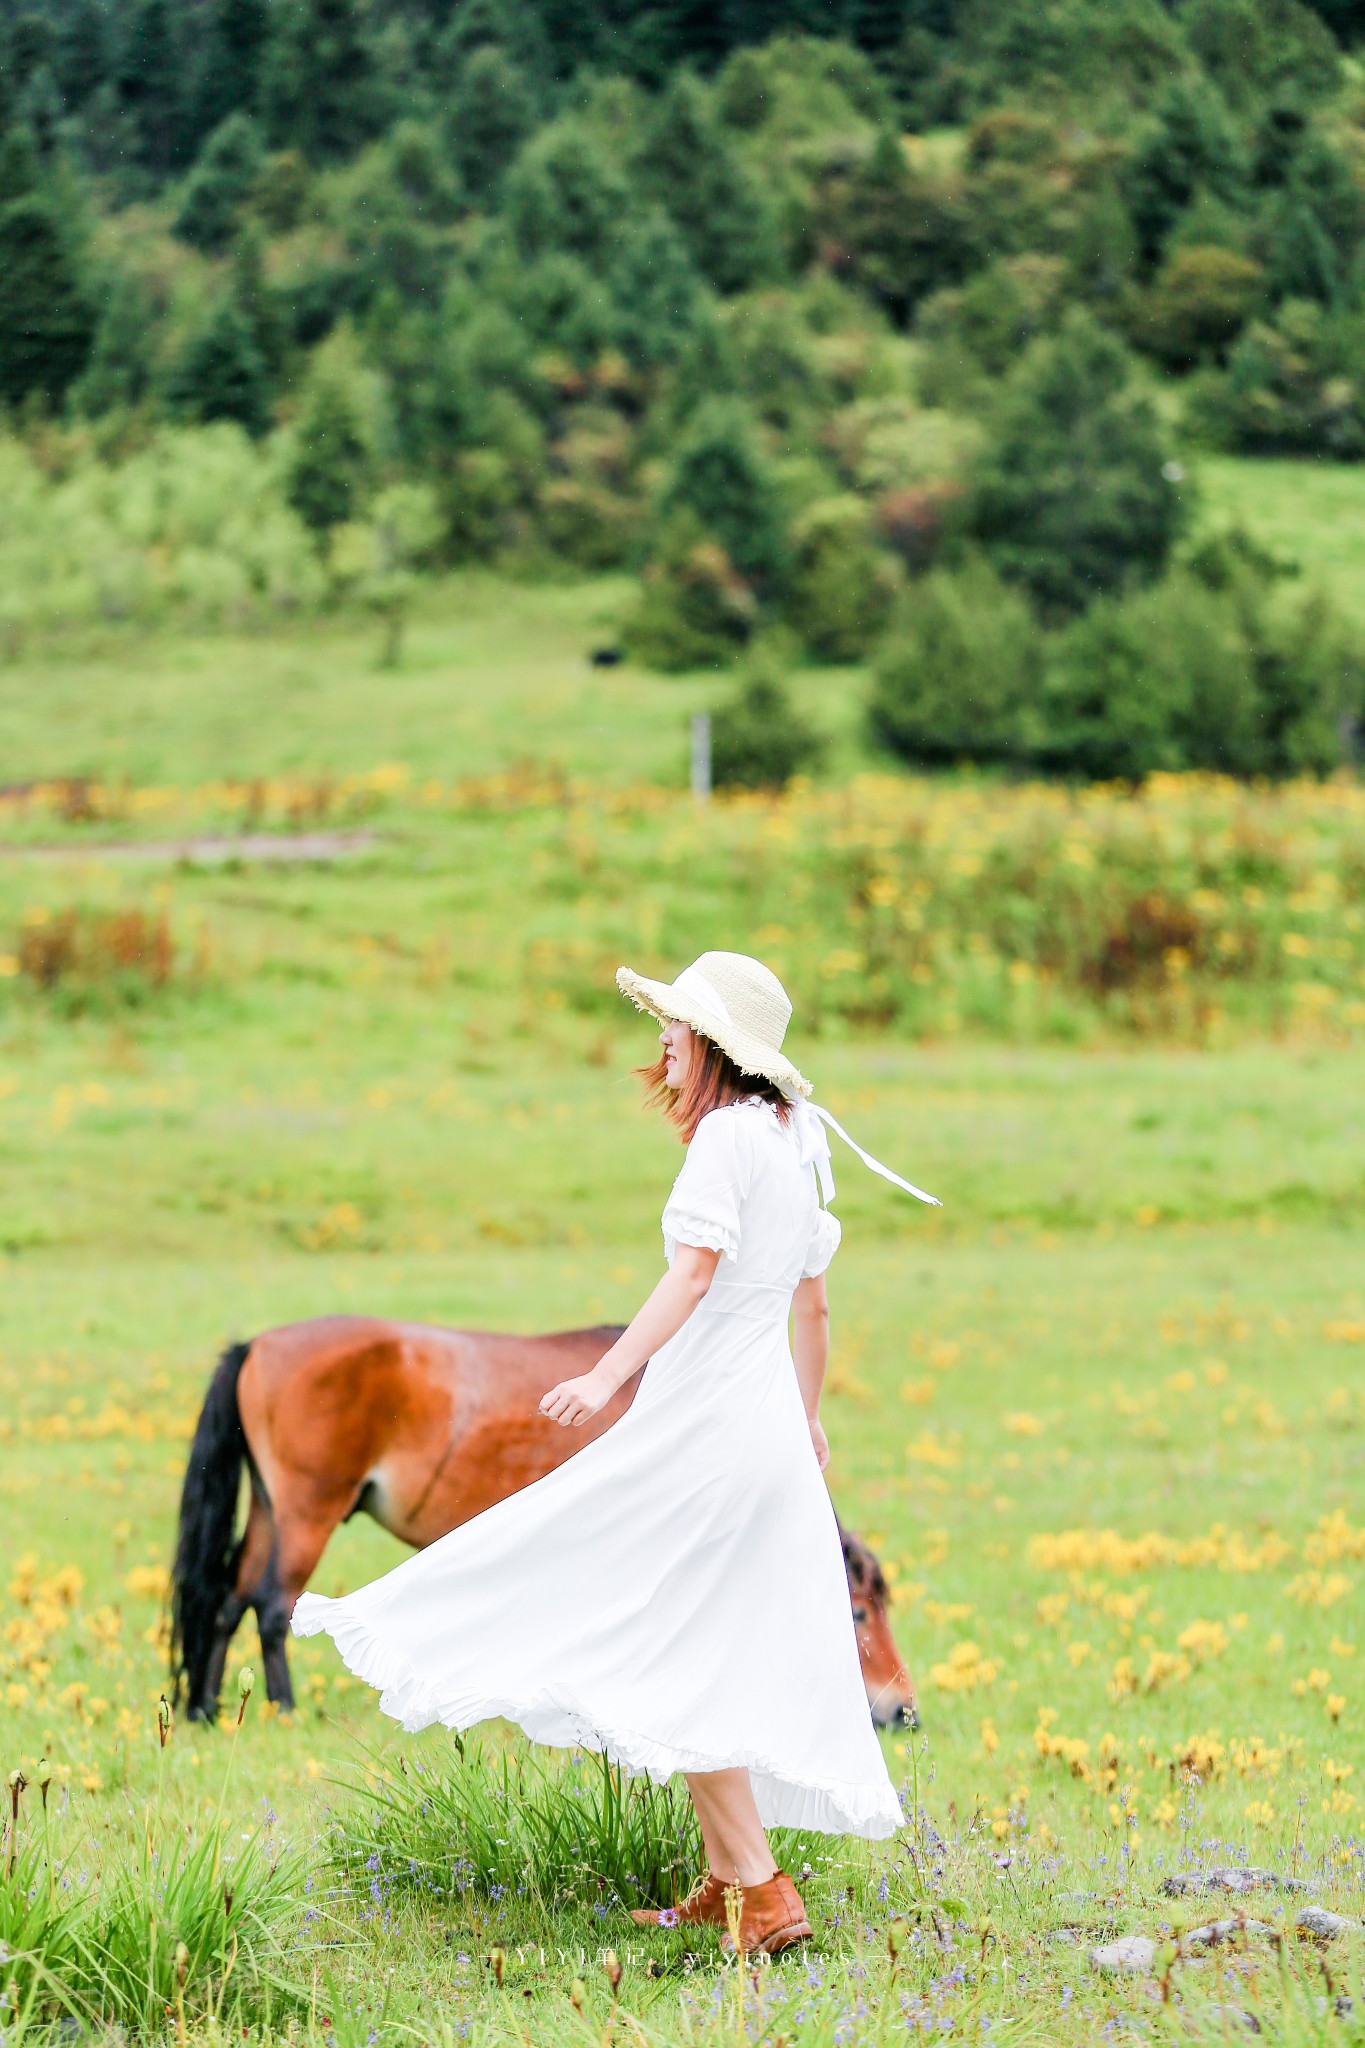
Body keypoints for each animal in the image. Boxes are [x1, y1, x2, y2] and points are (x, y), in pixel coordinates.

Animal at [170, 1318, 916, 1736]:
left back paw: (207, 1710)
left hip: (270, 1512)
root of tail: (258, 1345)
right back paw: (282, 1712)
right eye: (855, 1612)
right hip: (307, 1514)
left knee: (226, 1604)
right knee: (270, 1607)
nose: (902, 1711)